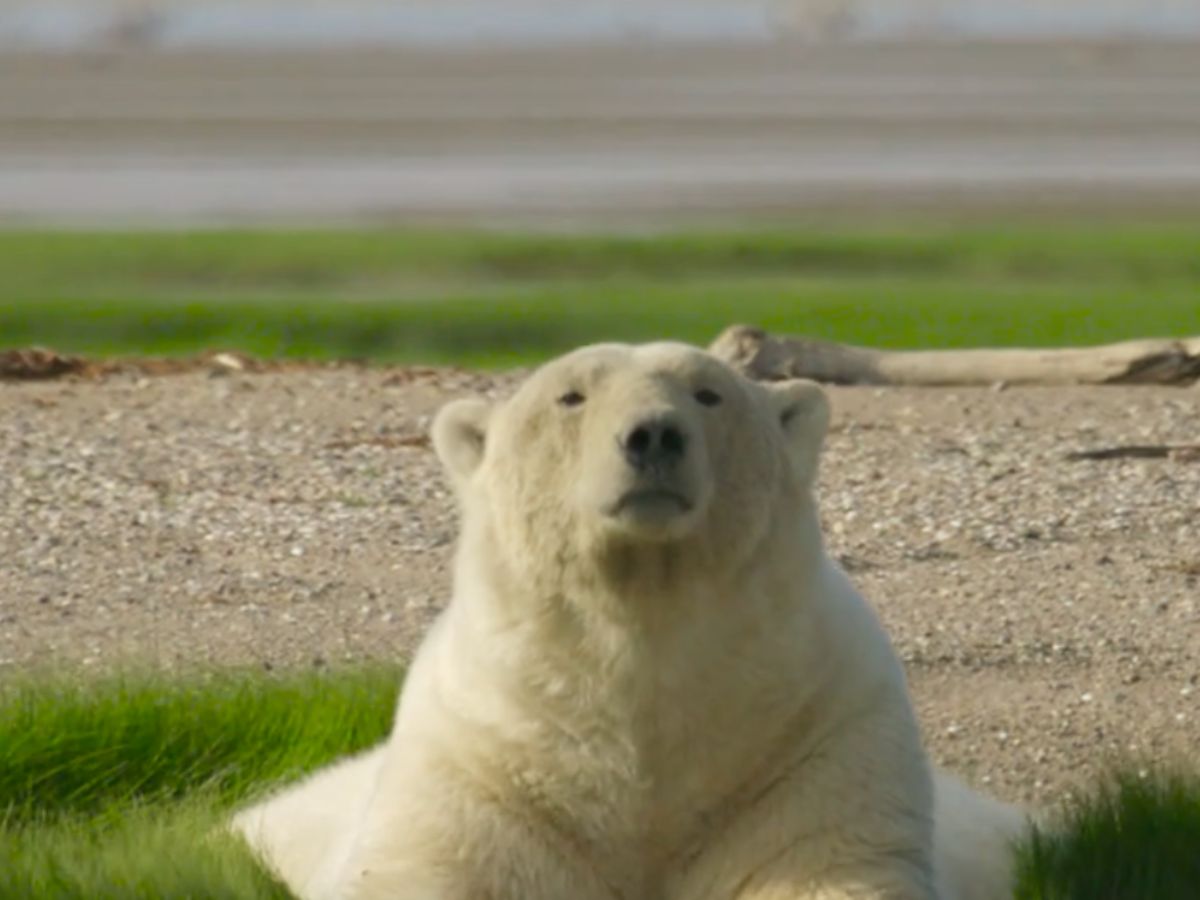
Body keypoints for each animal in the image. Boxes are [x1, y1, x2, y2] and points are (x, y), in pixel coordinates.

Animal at [236, 340, 1032, 897]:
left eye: (709, 393)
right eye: (571, 395)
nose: (652, 435)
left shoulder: (814, 745)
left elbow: (826, 867)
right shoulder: (481, 764)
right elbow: (419, 872)